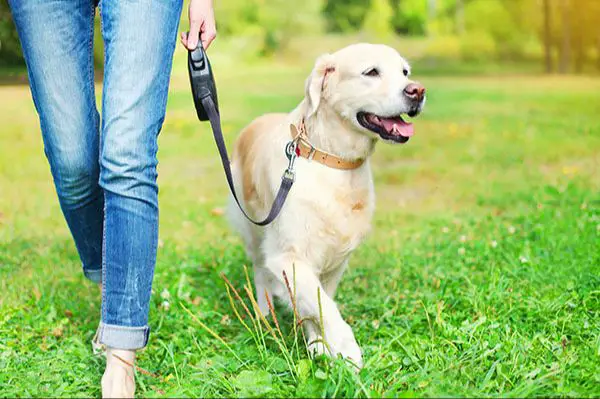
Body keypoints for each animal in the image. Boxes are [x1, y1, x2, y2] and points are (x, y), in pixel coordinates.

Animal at [227, 43, 424, 368]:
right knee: (259, 271)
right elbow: (324, 306)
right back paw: (264, 315)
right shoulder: (288, 255)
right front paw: (347, 351)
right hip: (254, 230)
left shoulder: (335, 259)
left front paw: (319, 344)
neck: (332, 159)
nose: (418, 91)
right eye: (371, 72)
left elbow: (319, 302)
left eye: (405, 72)